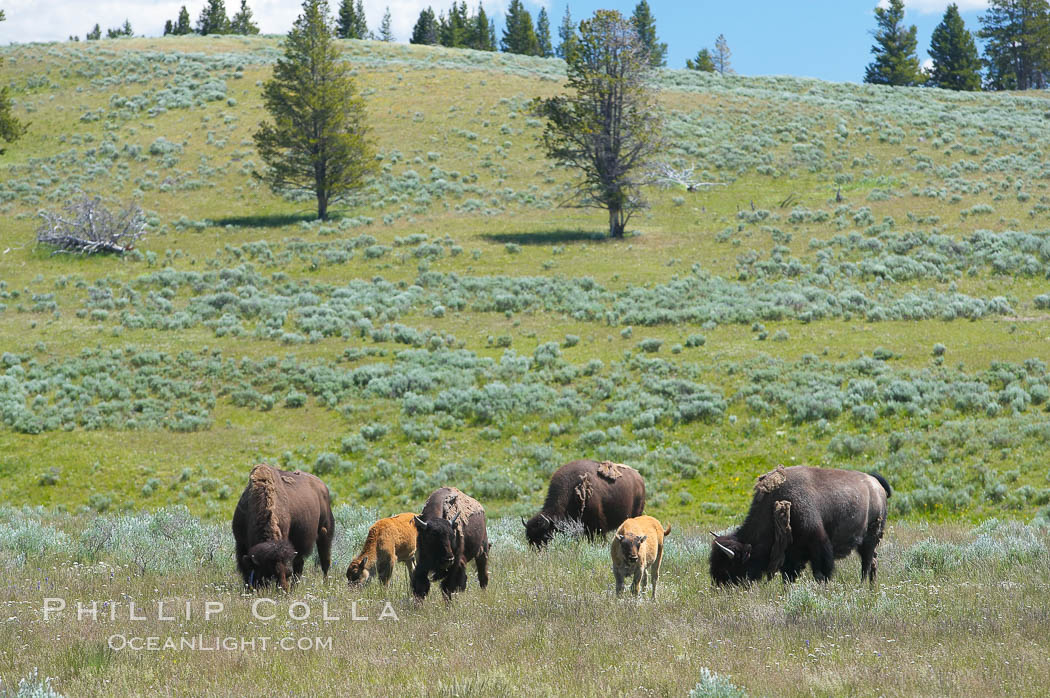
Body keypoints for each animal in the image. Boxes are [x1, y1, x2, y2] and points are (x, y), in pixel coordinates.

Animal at [709, 466, 890, 583]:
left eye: (728, 567)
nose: (719, 587)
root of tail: (876, 484)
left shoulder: (818, 545)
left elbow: (821, 572)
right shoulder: (791, 553)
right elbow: (788, 576)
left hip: (870, 539)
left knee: (867, 563)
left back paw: (863, 585)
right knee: (872, 563)